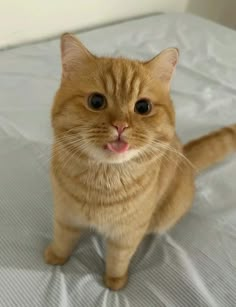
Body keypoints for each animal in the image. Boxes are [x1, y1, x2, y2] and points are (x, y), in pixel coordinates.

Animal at [44, 33, 236, 292]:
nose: (120, 125)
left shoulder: (127, 234)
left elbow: (118, 259)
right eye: (96, 101)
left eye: (143, 107)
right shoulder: (66, 216)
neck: (103, 181)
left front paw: (115, 282)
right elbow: (63, 239)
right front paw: (56, 256)